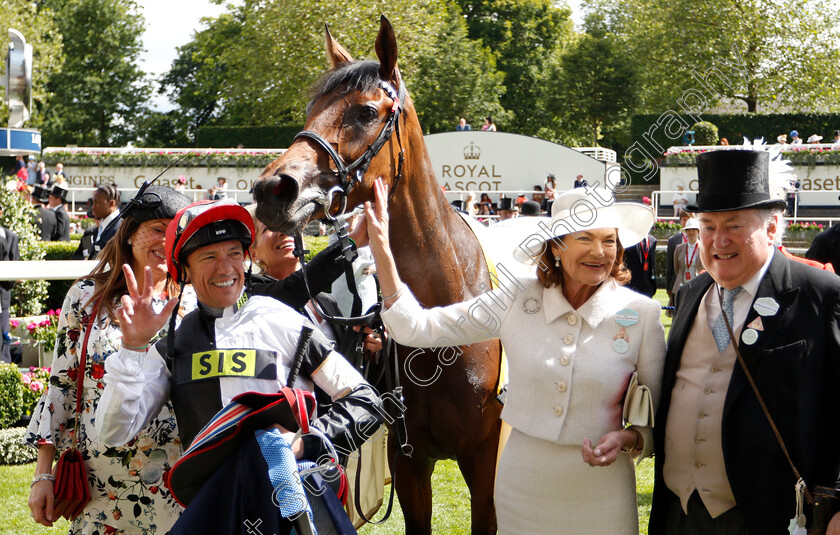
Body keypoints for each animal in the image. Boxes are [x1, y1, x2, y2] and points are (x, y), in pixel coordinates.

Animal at [253, 15, 502, 535]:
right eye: (310, 110)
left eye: (366, 112)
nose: (273, 188)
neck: (443, 321)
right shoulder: (410, 461)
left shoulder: (484, 458)